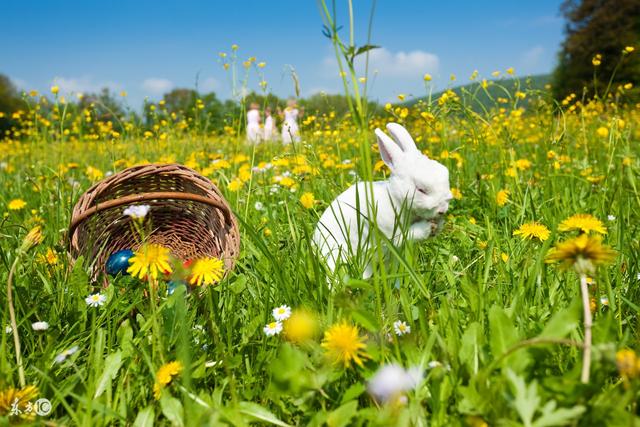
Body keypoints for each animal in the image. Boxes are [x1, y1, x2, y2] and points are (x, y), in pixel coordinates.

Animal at [312, 122, 452, 280]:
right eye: (421, 190)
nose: (442, 210)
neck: (396, 200)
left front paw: (438, 226)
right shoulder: (389, 234)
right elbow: (408, 235)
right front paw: (427, 228)